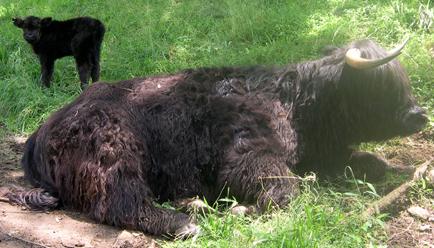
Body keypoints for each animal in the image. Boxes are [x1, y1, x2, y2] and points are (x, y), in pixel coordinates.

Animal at [5, 38, 428, 236]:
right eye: (381, 87)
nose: (419, 115)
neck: (292, 101)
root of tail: (45, 129)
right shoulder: (248, 154)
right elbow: (288, 191)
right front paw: (243, 209)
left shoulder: (321, 154)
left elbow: (366, 162)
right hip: (115, 151)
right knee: (120, 203)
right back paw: (184, 221)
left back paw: (193, 205)